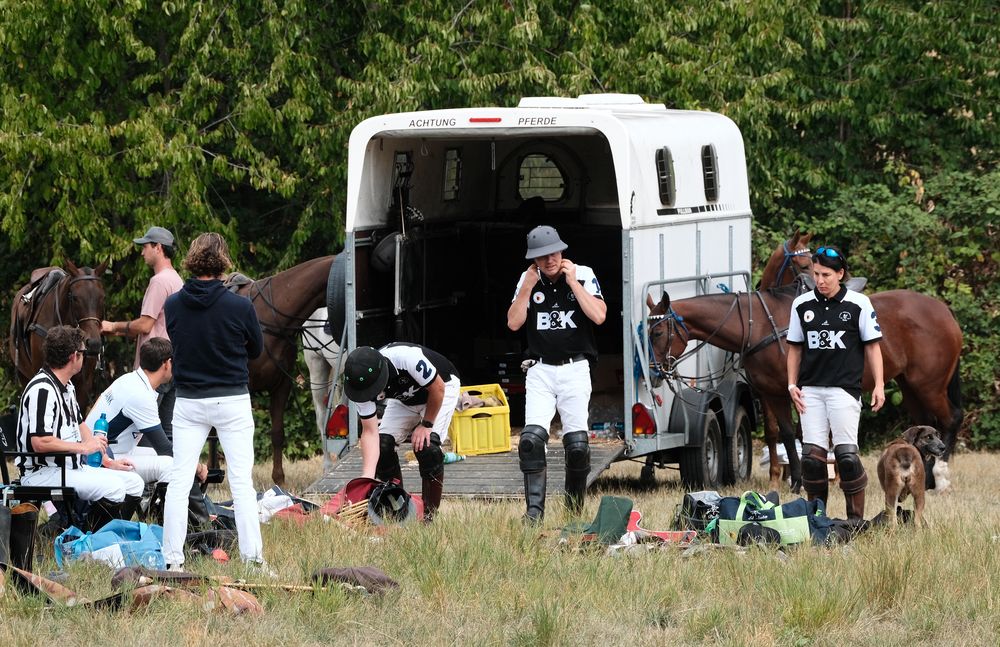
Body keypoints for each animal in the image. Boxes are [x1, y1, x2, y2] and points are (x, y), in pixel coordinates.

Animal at [652, 286, 964, 494]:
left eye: (656, 332)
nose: (655, 372)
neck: (760, 326)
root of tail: (944, 310)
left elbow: (805, 437)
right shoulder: (774, 393)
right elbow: (788, 436)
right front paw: (796, 482)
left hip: (929, 385)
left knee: (950, 419)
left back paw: (940, 477)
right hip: (910, 385)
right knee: (925, 425)